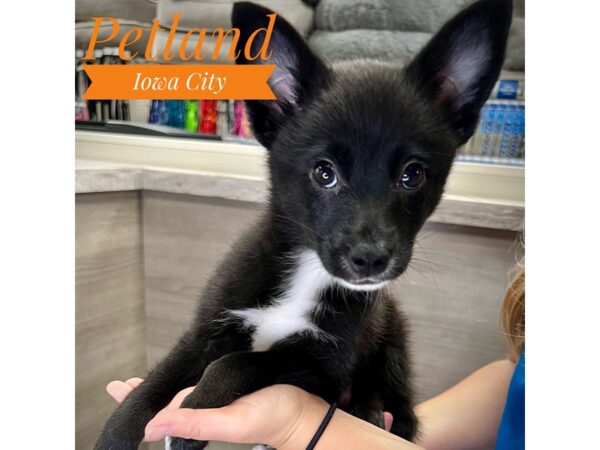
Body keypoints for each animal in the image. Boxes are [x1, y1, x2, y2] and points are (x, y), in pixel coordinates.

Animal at [94, 1, 510, 448]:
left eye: (412, 175)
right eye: (324, 173)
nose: (371, 260)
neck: (306, 274)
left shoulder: (321, 370)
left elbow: (241, 362)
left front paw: (194, 415)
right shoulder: (205, 331)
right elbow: (152, 384)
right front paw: (117, 434)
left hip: (392, 338)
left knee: (392, 400)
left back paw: (368, 411)